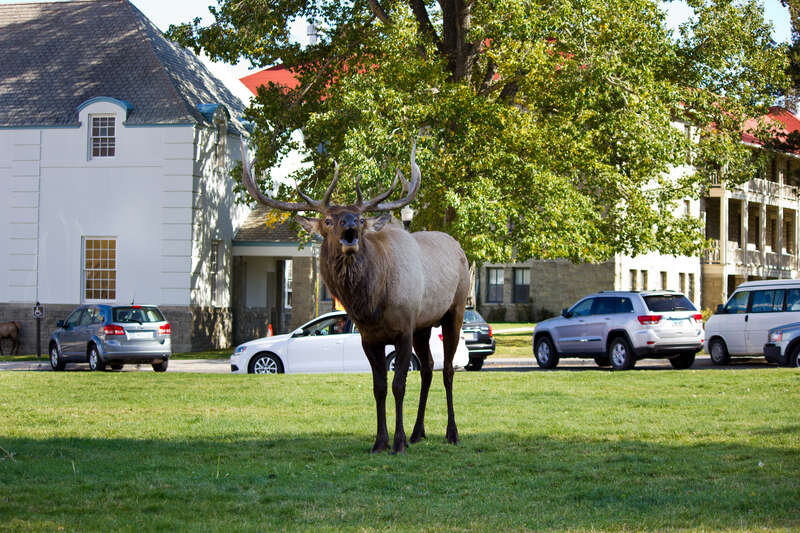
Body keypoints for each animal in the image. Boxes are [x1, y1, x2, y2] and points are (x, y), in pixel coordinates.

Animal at [241, 140, 469, 454]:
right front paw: (380, 441)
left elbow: (398, 385)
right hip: (424, 326)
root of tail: (458, 246)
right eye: (328, 219)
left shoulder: (404, 328)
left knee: (447, 369)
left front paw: (397, 443)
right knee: (428, 369)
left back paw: (451, 433)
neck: (371, 304)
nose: (350, 225)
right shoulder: (369, 337)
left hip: (454, 310)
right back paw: (418, 432)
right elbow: (379, 387)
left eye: (360, 218)